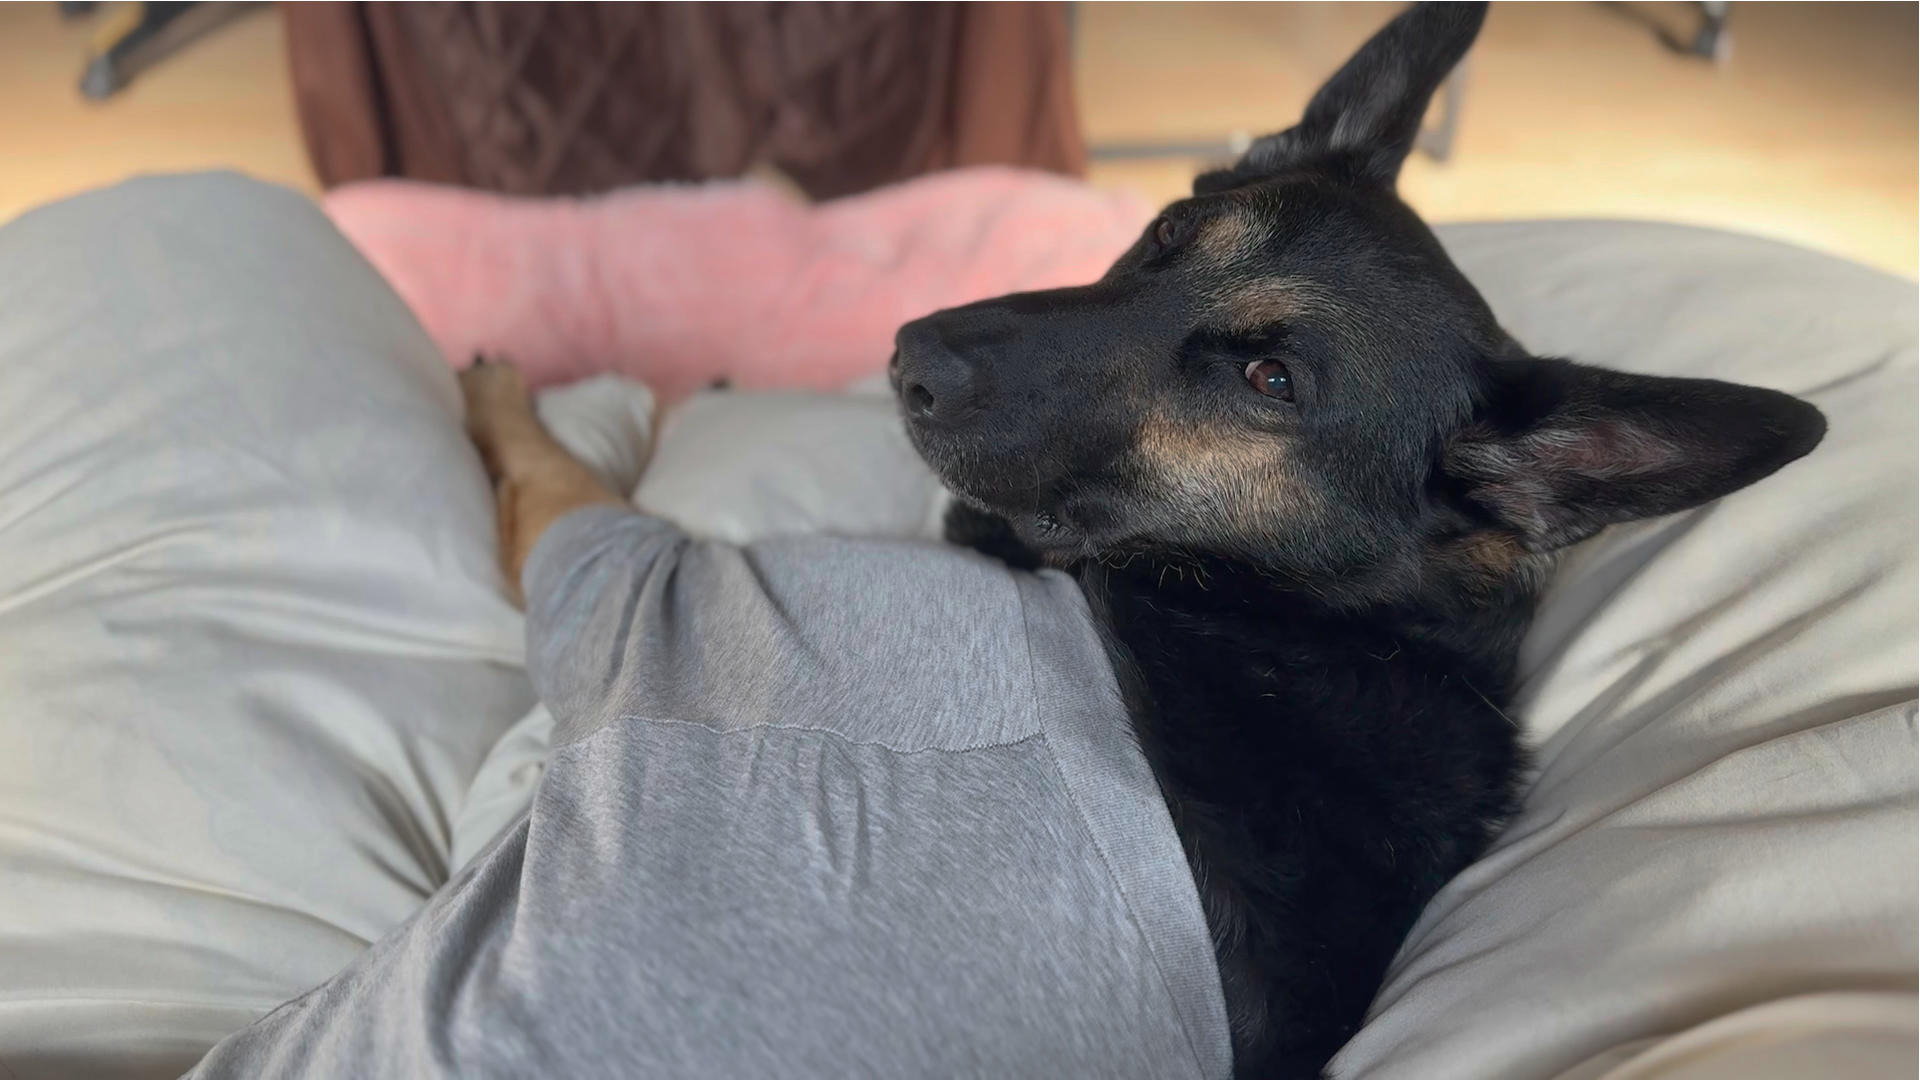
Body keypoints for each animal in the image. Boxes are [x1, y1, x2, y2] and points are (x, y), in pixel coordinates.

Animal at [464, 4, 1825, 1076]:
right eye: (1169, 230)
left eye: (1271, 381)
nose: (909, 355)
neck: (1280, 615)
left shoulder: (640, 594)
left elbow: (553, 476)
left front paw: (503, 388)